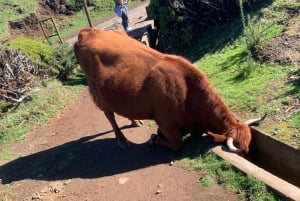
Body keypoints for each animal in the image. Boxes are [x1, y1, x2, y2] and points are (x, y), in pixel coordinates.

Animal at [74, 28, 264, 153]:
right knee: (109, 115)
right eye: (241, 149)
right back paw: (122, 140)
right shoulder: (165, 121)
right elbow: (176, 144)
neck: (187, 91)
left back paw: (135, 121)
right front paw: (155, 139)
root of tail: (88, 31)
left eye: (249, 146)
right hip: (96, 91)